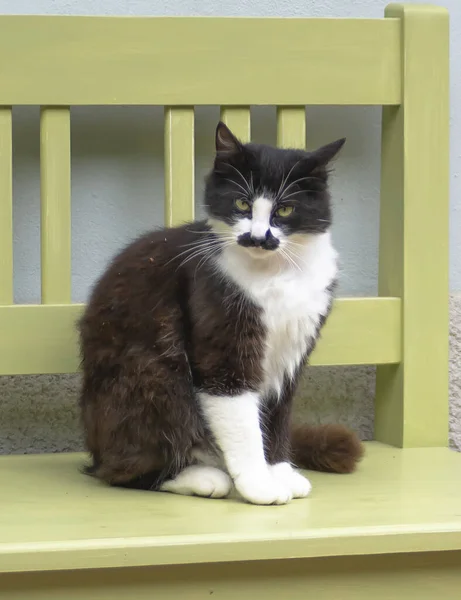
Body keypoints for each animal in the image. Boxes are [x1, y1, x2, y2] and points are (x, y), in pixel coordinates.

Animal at [81, 119, 364, 504]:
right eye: (242, 203)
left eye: (285, 210)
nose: (258, 237)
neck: (275, 273)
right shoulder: (223, 339)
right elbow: (242, 420)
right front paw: (259, 484)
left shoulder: (292, 352)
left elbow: (277, 416)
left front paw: (279, 471)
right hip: (150, 377)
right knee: (122, 468)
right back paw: (201, 476)